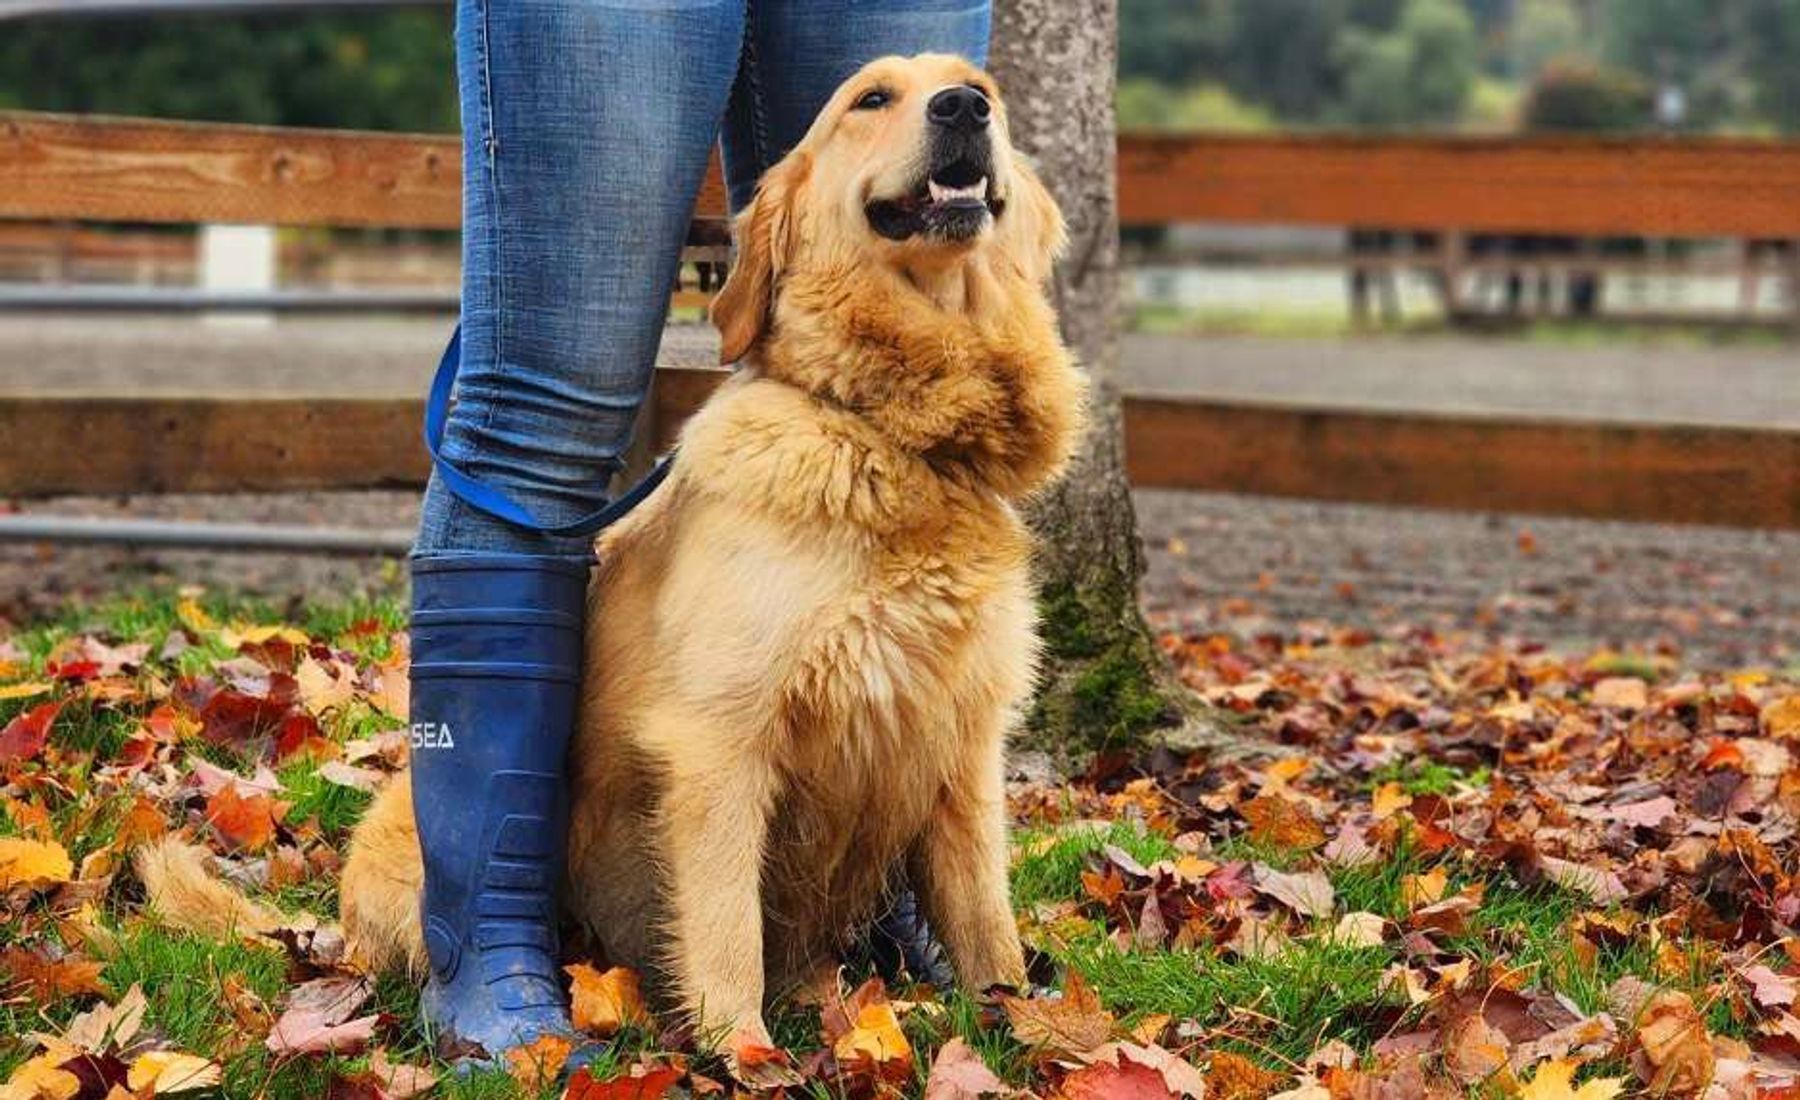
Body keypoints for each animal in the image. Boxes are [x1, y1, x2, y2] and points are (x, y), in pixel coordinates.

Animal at [151, 53, 1080, 1058]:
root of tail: (329, 928)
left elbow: (986, 917)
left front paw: (1031, 1023)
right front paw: (746, 1056)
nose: (964, 108)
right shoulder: (720, 743)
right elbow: (726, 931)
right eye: (870, 99)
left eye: (982, 89)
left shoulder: (962, 747)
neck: (894, 436)